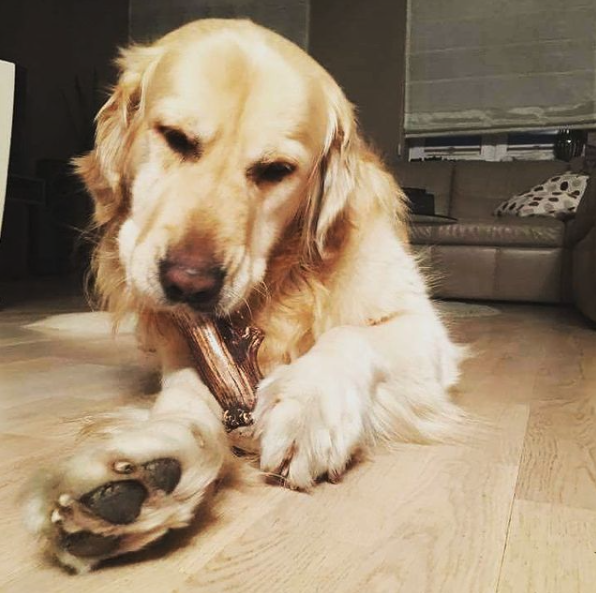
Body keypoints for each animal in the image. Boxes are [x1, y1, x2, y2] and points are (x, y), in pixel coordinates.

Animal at [24, 19, 465, 572]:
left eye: (275, 170)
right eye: (175, 138)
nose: (188, 282)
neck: (278, 283)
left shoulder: (423, 329)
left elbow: (349, 338)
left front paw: (309, 404)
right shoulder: (180, 346)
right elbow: (184, 397)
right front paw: (155, 462)